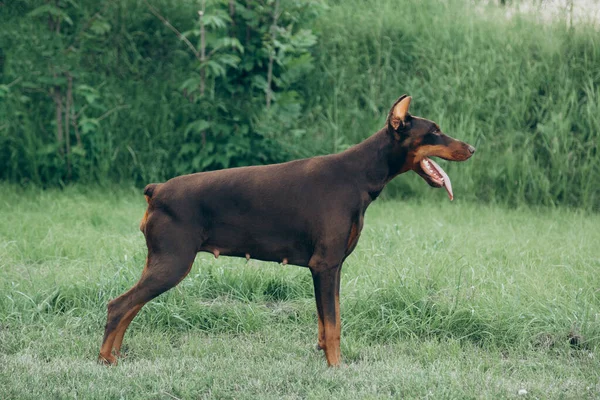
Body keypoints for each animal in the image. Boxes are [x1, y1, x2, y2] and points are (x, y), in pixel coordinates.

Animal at [97, 95, 474, 368]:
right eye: (435, 131)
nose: (472, 148)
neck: (359, 174)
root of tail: (157, 190)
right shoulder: (324, 264)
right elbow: (333, 325)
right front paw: (337, 369)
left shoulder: (333, 267)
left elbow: (330, 320)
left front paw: (325, 357)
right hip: (173, 263)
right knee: (119, 306)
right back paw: (105, 360)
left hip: (161, 261)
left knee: (129, 307)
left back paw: (116, 355)